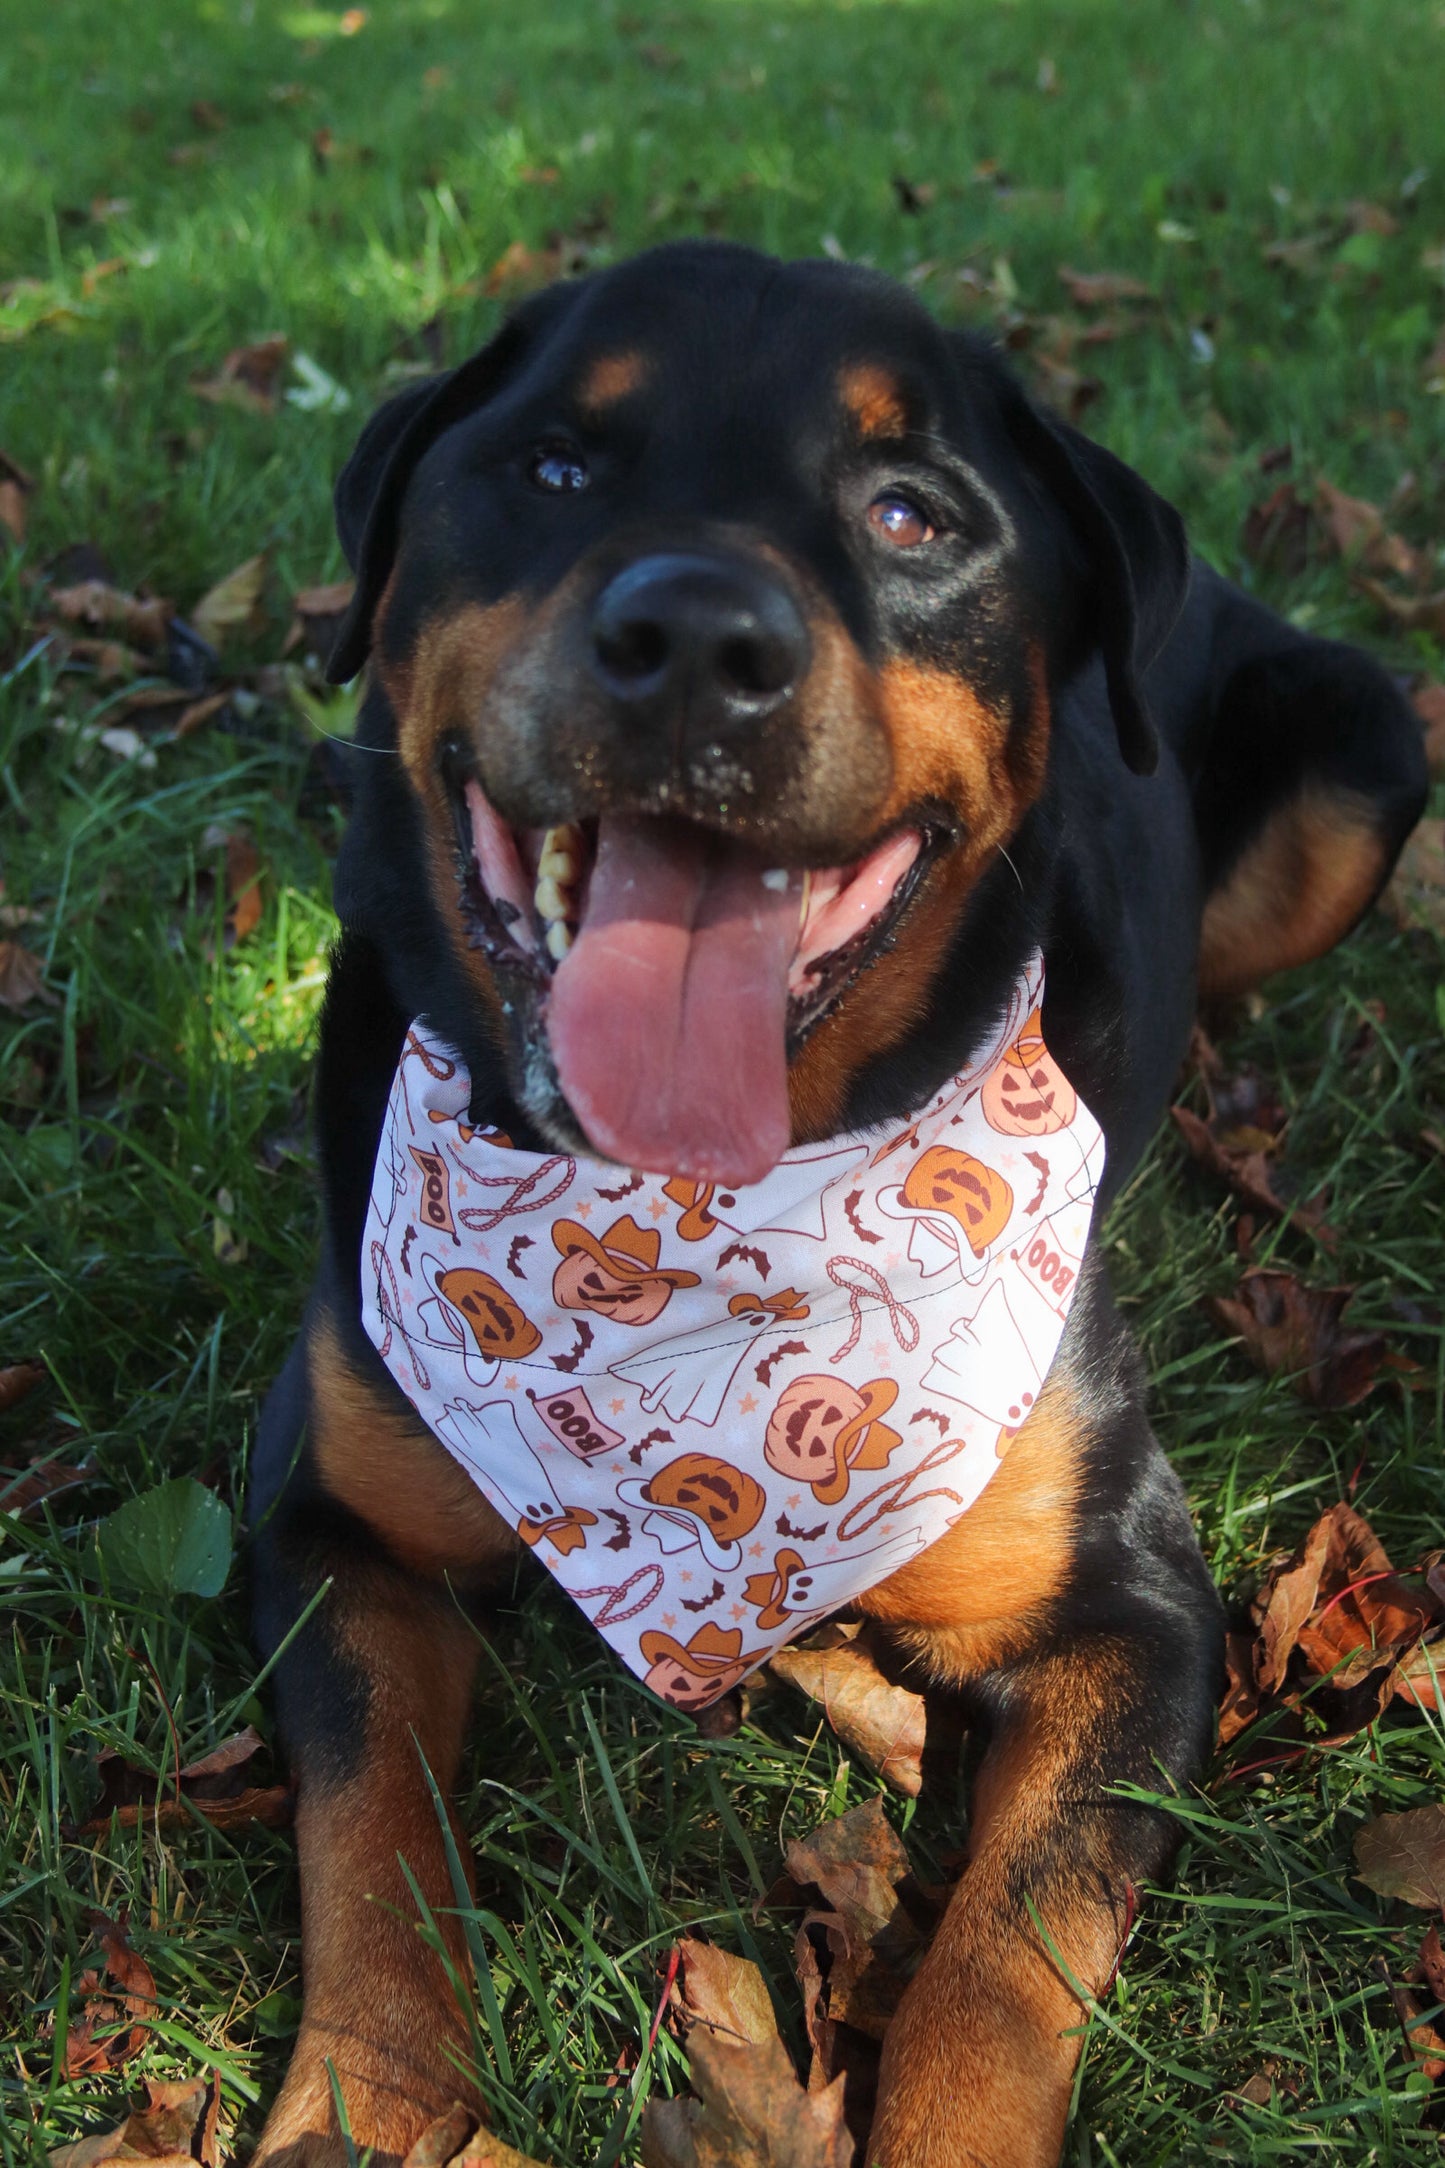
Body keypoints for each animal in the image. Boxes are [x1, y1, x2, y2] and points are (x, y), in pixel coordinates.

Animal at [249, 241, 1421, 2168]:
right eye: (556, 465)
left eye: (907, 512)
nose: (697, 640)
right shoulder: (327, 1513)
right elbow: (372, 1839)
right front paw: (364, 2108)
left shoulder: (1134, 1603)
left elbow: (1011, 1950)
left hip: (1364, 744)